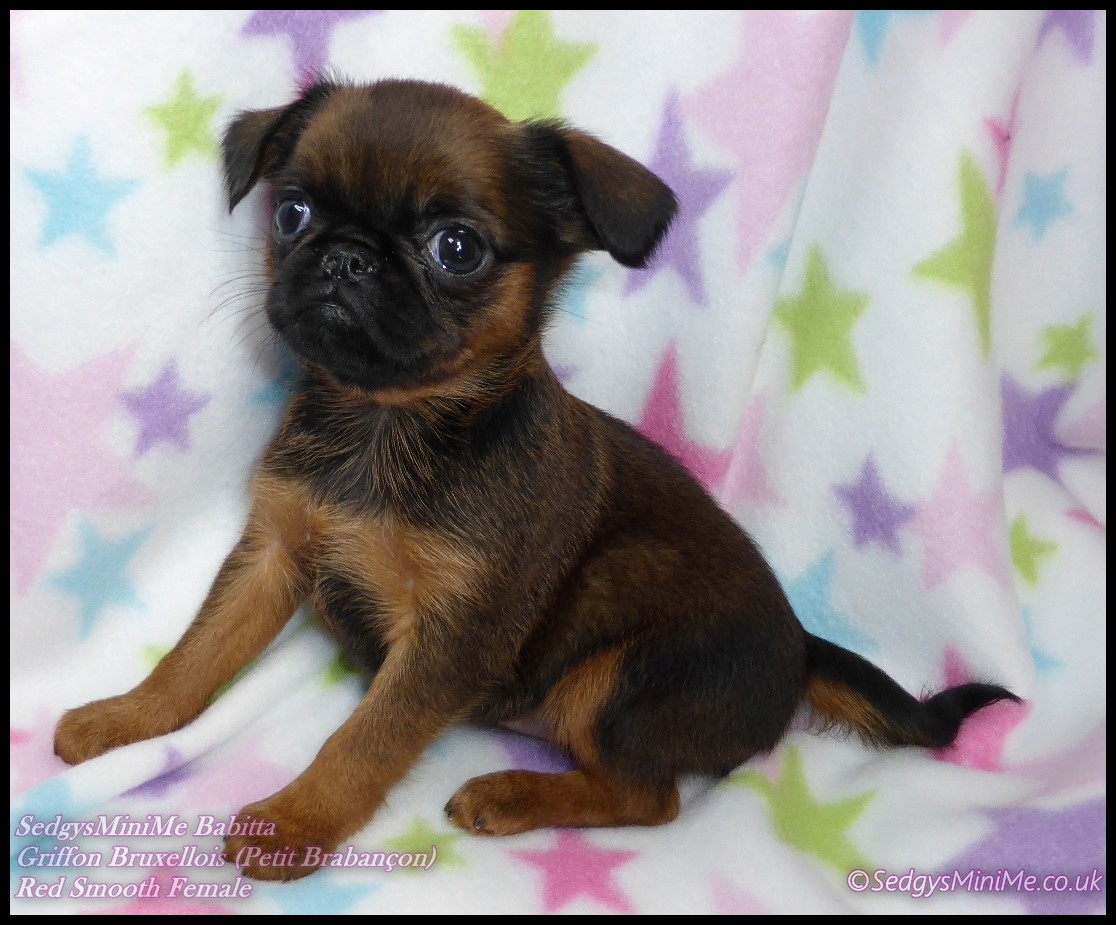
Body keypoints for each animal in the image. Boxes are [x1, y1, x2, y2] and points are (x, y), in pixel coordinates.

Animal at [53, 77, 1017, 881]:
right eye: (291, 213)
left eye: (456, 247)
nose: (346, 256)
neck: (387, 421)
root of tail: (802, 647)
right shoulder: (273, 552)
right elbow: (197, 653)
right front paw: (123, 718)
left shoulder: (453, 633)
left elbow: (363, 740)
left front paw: (296, 821)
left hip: (615, 677)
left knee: (650, 797)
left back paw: (511, 791)